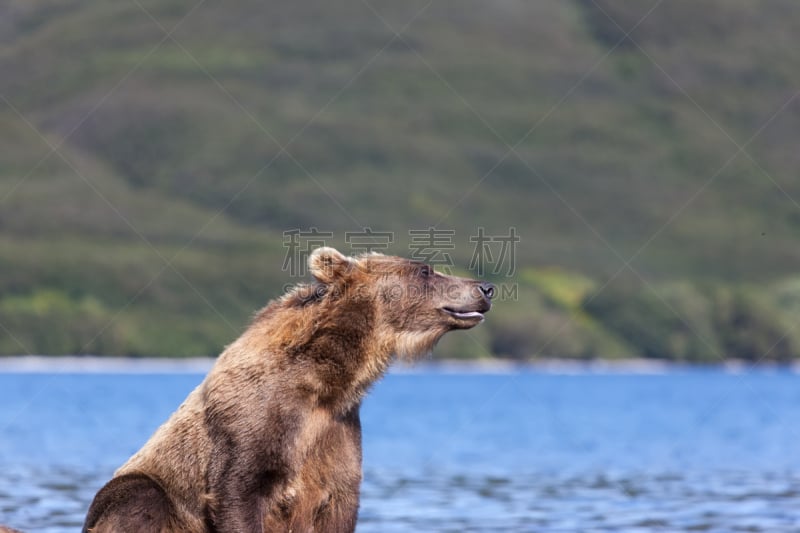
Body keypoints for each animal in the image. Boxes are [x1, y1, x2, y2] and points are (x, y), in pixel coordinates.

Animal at [83, 247, 494, 528]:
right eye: (425, 270)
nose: (485, 287)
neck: (326, 379)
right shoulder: (252, 427)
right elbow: (239, 493)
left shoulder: (336, 433)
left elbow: (339, 503)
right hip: (138, 494)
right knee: (139, 500)